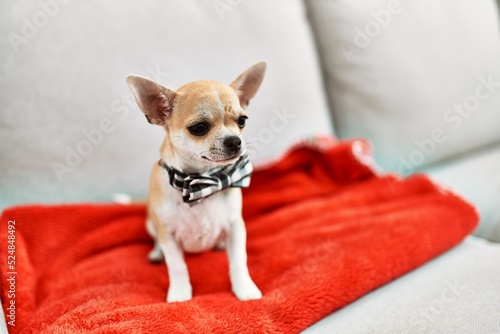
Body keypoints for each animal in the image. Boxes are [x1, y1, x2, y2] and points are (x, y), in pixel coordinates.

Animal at [126, 61, 266, 302]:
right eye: (199, 128)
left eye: (242, 121)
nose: (235, 141)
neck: (203, 180)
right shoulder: (168, 234)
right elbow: (177, 266)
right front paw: (180, 294)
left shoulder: (235, 227)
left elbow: (239, 261)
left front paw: (244, 288)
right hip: (151, 224)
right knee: (156, 241)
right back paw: (156, 253)